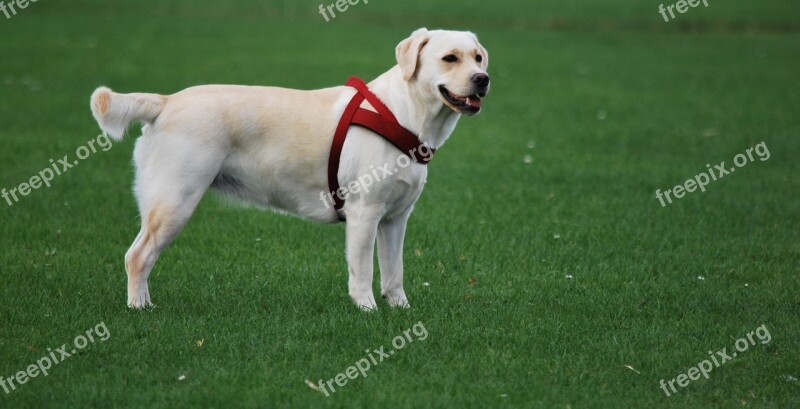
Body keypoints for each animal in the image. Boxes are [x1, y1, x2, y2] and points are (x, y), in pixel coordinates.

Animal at [87, 27, 488, 310]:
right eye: (450, 58)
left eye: (479, 58)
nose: (482, 80)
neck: (405, 114)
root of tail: (166, 101)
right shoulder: (364, 213)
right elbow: (363, 270)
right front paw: (367, 310)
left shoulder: (395, 218)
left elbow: (394, 272)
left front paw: (400, 309)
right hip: (174, 201)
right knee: (137, 256)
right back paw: (140, 308)